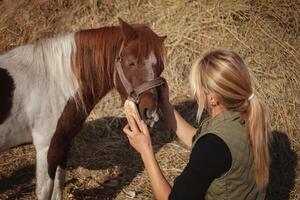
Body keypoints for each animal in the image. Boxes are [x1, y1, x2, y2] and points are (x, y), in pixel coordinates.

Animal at [0, 18, 166, 198]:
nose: (150, 113)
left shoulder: (62, 144)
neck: (53, 83)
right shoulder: (45, 148)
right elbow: (45, 191)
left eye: (160, 67)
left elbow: (59, 185)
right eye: (131, 63)